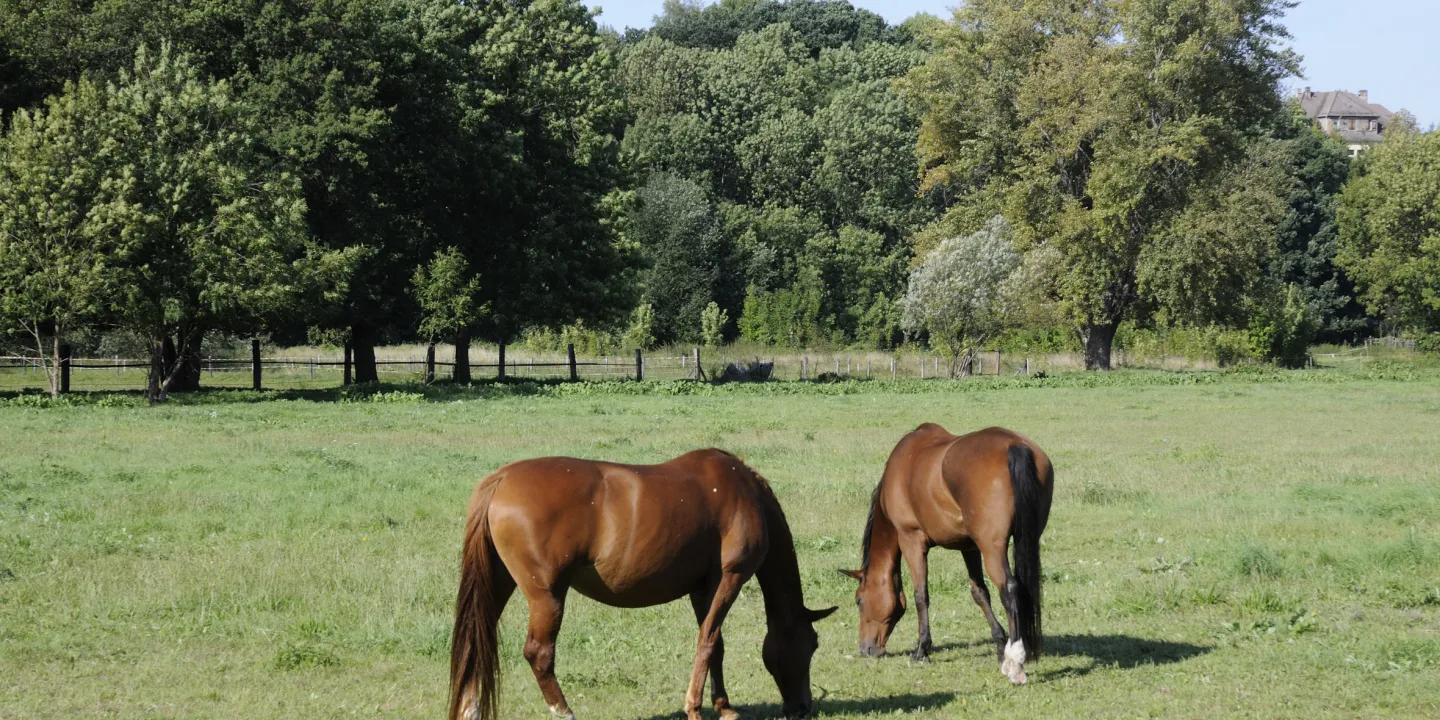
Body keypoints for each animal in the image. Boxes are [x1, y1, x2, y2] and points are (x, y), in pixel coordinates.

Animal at [449, 448, 837, 720]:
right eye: (811, 644)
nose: (803, 707)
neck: (744, 492)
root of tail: (500, 480)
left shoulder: (703, 588)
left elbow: (715, 644)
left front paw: (723, 706)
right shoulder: (731, 577)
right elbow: (709, 641)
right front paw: (695, 707)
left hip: (499, 583)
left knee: (477, 639)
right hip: (547, 595)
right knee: (539, 653)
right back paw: (565, 711)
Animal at [839, 425, 1053, 685]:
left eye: (859, 600)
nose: (866, 649)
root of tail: (1014, 445)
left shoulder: (911, 540)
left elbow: (921, 596)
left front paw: (922, 649)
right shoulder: (969, 547)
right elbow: (980, 593)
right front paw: (999, 644)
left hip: (993, 549)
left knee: (1010, 590)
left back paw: (1016, 663)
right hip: (1025, 539)